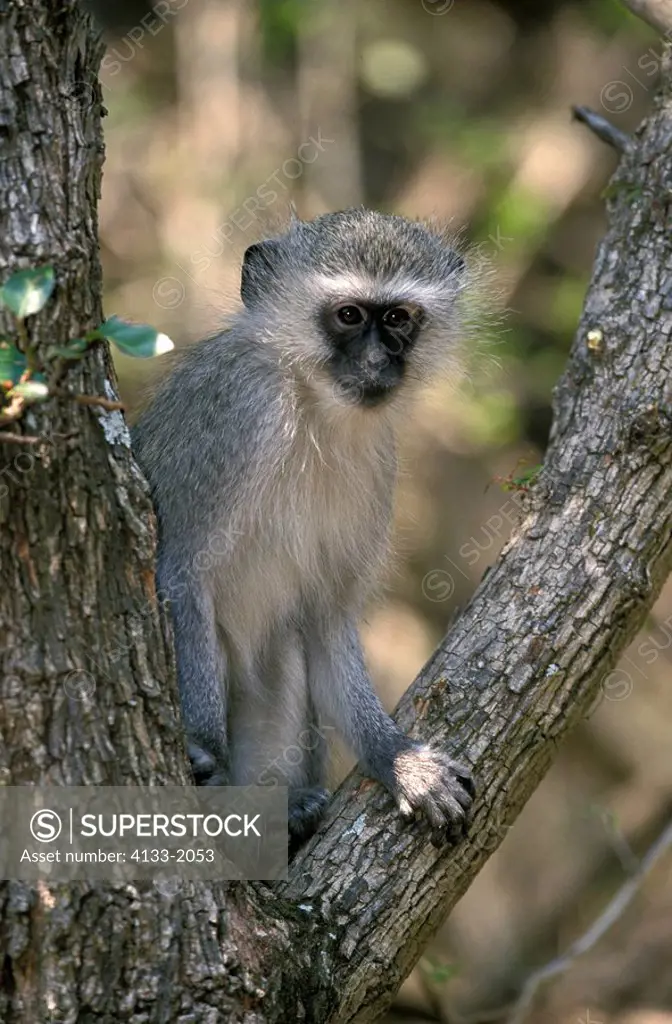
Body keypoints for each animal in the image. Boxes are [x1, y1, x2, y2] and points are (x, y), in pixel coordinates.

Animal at [132, 205, 473, 847]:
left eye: (398, 318)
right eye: (349, 315)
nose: (377, 363)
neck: (312, 403)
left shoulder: (378, 460)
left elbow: (325, 617)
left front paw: (396, 758)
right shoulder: (237, 410)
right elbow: (181, 575)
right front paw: (203, 750)